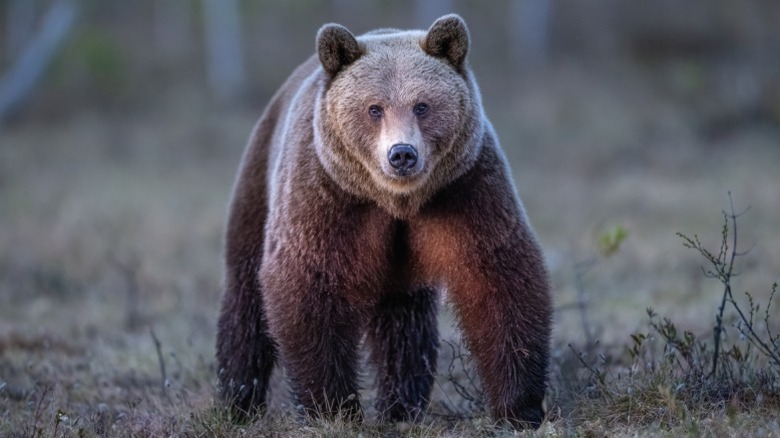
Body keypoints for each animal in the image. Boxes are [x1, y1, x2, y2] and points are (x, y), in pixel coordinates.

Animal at [216, 14, 552, 428]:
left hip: (402, 265)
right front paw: (331, 407)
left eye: (422, 106)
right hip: (258, 182)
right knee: (244, 296)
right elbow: (308, 282)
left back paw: (402, 406)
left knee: (404, 324)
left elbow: (497, 276)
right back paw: (237, 401)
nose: (402, 154)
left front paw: (519, 407)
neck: (395, 200)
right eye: (374, 108)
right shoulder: (326, 196)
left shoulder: (465, 189)